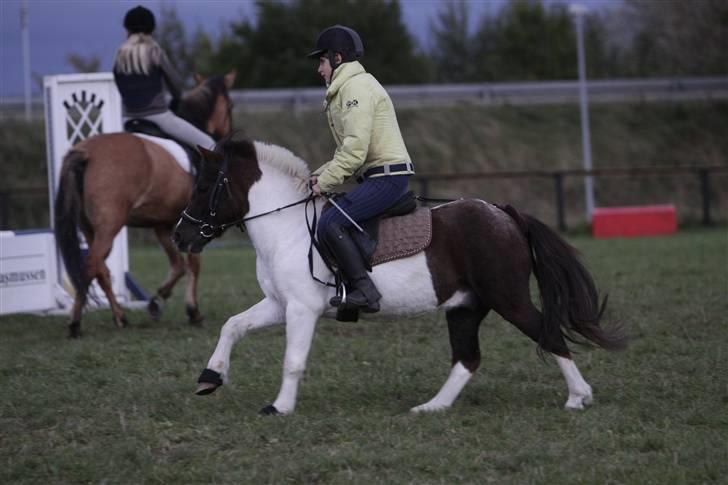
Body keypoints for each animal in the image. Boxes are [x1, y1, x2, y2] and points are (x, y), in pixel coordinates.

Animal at [54, 71, 236, 336]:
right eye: (230, 105)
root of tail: (86, 151)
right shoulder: (190, 224)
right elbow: (193, 264)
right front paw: (193, 311)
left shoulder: (163, 225)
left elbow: (179, 265)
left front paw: (157, 302)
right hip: (109, 226)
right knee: (91, 265)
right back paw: (76, 323)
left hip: (89, 227)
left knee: (101, 270)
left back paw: (120, 317)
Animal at [172, 134, 624, 414]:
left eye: (205, 186)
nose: (180, 235)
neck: (287, 227)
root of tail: (503, 213)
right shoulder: (279, 305)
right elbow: (233, 325)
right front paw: (210, 377)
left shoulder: (301, 309)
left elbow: (293, 361)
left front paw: (279, 406)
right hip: (465, 306)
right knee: (467, 359)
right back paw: (432, 407)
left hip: (508, 299)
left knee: (548, 334)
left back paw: (578, 398)